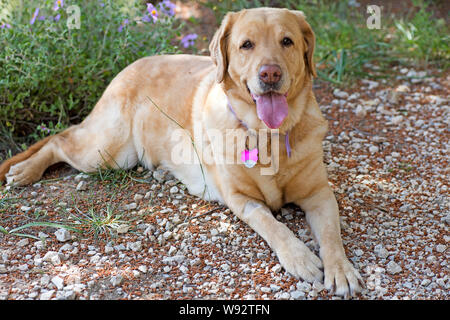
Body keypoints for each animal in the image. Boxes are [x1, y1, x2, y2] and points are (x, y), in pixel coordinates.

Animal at [0, 7, 364, 296]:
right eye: (246, 45)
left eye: (287, 41)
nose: (270, 73)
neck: (268, 135)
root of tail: (130, 64)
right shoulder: (242, 200)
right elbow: (276, 227)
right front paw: (300, 257)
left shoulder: (320, 194)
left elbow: (331, 236)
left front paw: (341, 270)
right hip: (106, 152)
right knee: (58, 140)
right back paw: (25, 170)